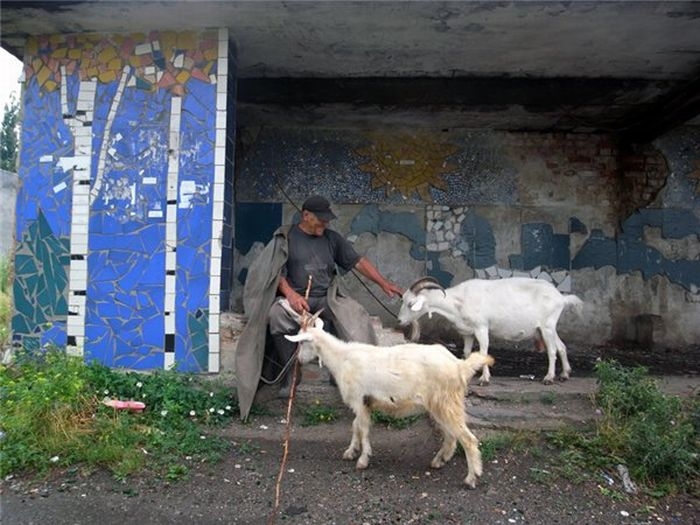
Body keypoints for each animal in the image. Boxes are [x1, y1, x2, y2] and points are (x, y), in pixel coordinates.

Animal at [284, 312, 492, 488]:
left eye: (302, 343)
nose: (299, 360)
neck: (341, 358)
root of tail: (460, 366)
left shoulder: (359, 399)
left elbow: (363, 428)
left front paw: (363, 459)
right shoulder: (364, 402)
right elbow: (355, 426)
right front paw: (351, 451)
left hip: (446, 402)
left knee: (468, 439)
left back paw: (471, 478)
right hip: (441, 405)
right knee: (451, 436)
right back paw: (439, 461)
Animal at [396, 276, 584, 382]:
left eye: (411, 304)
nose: (400, 320)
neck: (458, 302)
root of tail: (561, 298)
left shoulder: (481, 327)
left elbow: (483, 351)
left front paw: (484, 379)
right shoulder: (468, 332)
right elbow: (466, 352)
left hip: (547, 326)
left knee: (552, 350)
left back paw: (549, 378)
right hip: (547, 328)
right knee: (561, 346)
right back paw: (565, 374)